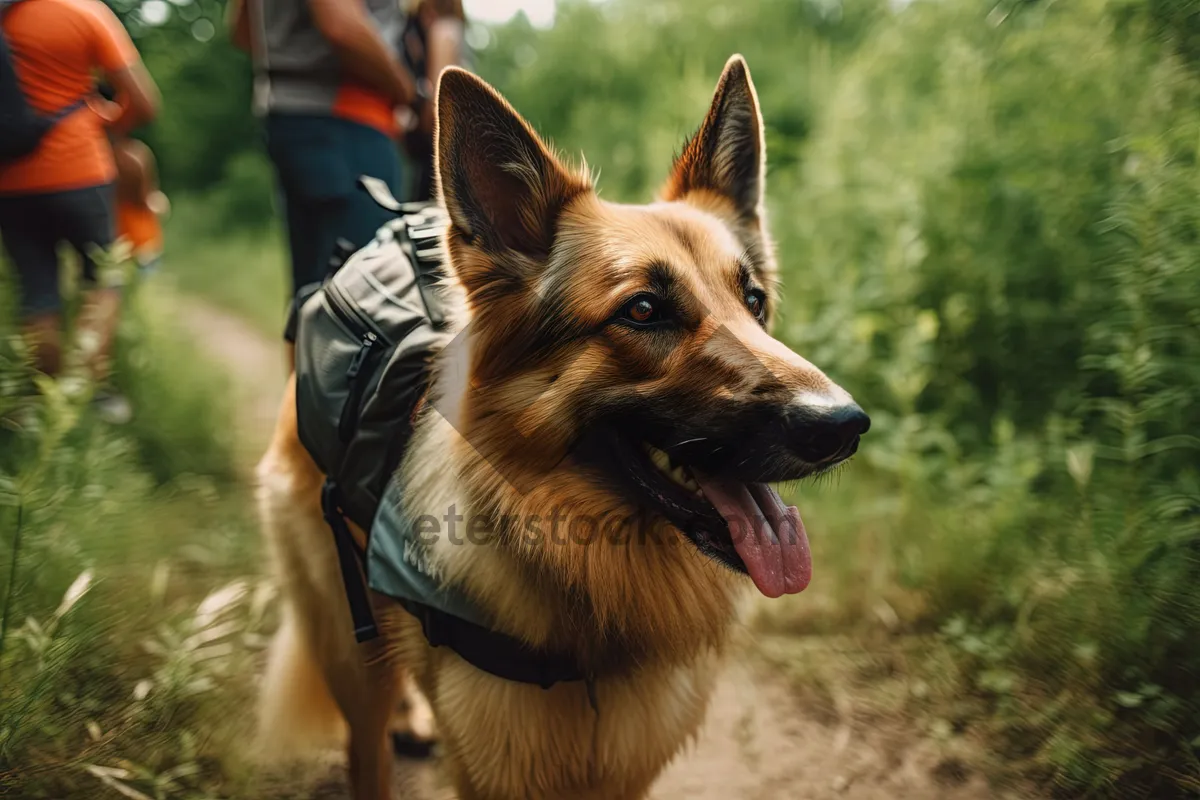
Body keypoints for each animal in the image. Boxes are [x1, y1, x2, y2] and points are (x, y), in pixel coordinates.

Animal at [258, 56, 868, 800]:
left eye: (753, 303)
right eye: (643, 311)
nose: (844, 425)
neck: (585, 570)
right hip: (352, 651)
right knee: (366, 744)